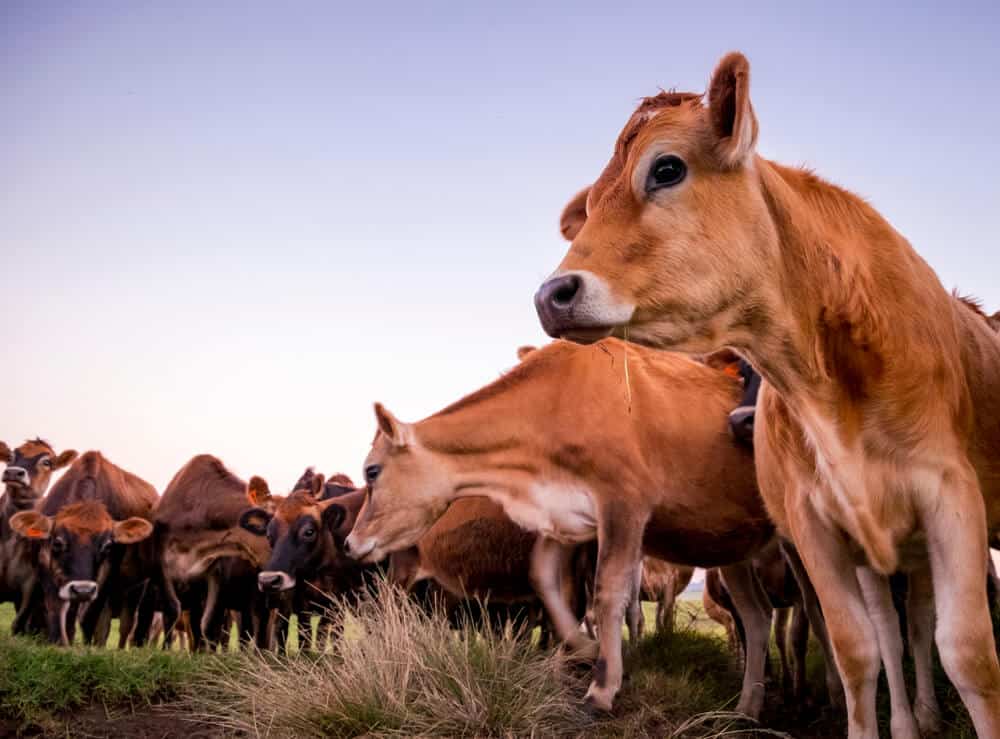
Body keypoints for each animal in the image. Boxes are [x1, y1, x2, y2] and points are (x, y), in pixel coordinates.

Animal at [7, 448, 156, 644]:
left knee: (124, 625)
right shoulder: (45, 567)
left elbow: (90, 617)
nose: (83, 589)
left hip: (136, 591)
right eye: (58, 543)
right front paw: (59, 642)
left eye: (107, 546)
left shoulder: (106, 577)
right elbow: (56, 608)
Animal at [342, 342, 772, 716]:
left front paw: (602, 688)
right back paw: (747, 708)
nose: (349, 542)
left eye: (372, 471)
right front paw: (585, 648)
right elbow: (546, 582)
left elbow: (607, 594)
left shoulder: (624, 506)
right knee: (756, 616)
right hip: (731, 547)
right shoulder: (566, 519)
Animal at [536, 49, 1000, 736]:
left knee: (918, 628)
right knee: (897, 633)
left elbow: (968, 653)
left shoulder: (951, 496)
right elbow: (856, 649)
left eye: (667, 168)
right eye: (590, 207)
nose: (552, 295)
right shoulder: (818, 526)